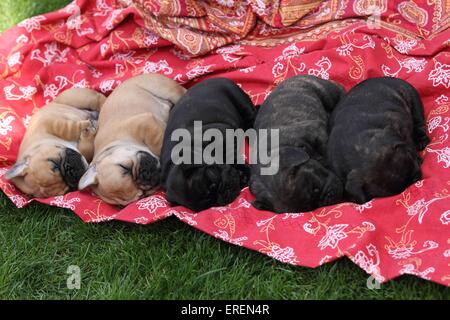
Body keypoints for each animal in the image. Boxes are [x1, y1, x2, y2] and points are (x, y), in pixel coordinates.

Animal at [78, 74, 185, 206]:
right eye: (143, 195)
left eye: (125, 168)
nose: (146, 175)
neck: (118, 142)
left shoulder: (146, 123)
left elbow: (158, 144)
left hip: (169, 91)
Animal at [161, 77, 256, 212]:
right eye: (211, 205)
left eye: (213, 183)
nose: (223, 196)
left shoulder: (224, 134)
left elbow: (232, 156)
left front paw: (245, 172)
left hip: (238, 98)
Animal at [328, 76, 430, 204]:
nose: (417, 177)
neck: (360, 148)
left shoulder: (401, 125)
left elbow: (409, 141)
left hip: (413, 100)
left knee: (418, 121)